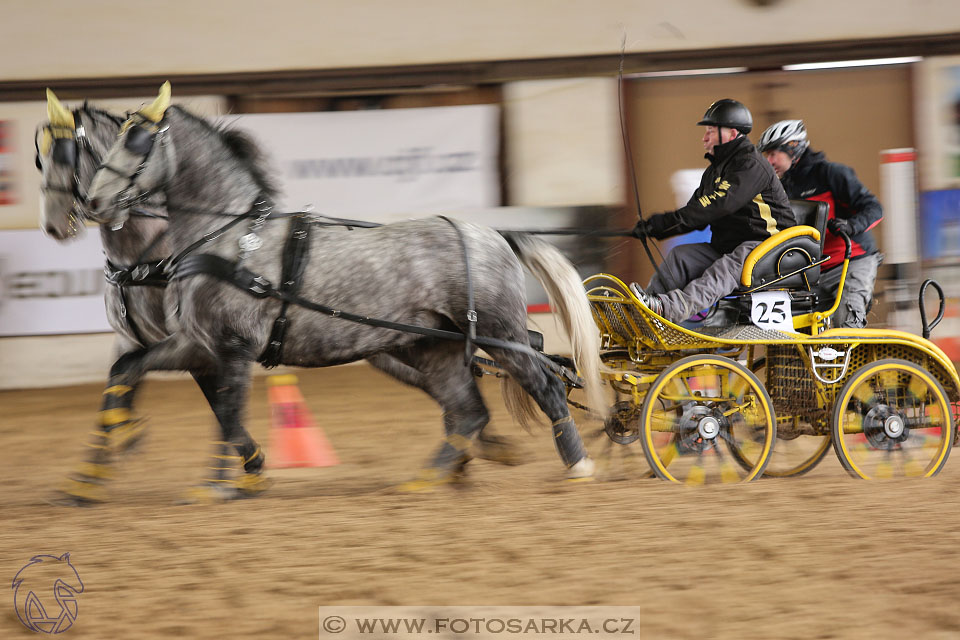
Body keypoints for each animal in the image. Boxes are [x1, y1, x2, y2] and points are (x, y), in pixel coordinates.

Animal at [88, 82, 600, 488]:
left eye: (137, 140)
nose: (94, 201)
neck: (230, 239)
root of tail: (494, 234)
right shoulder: (198, 343)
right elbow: (131, 368)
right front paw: (110, 454)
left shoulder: (233, 346)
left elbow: (229, 415)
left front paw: (225, 483)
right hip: (434, 346)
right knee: (469, 409)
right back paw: (430, 478)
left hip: (499, 333)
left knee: (546, 386)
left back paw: (578, 465)